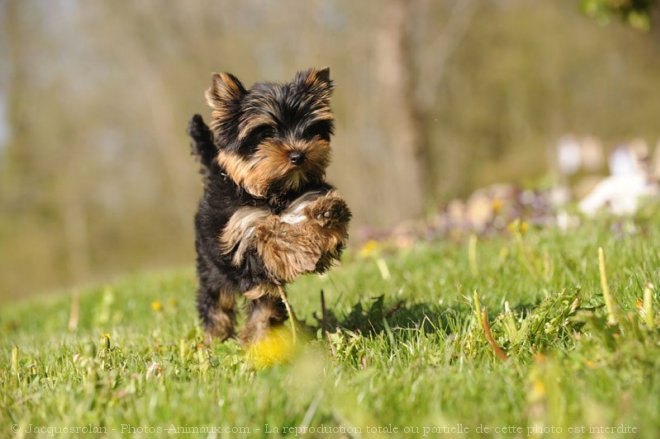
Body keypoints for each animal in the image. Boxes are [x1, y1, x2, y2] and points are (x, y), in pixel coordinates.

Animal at [187, 68, 350, 344]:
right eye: (266, 133)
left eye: (310, 129)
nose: (298, 155)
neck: (273, 193)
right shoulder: (243, 233)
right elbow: (272, 240)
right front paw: (290, 243)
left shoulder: (302, 200)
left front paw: (327, 213)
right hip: (211, 264)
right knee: (218, 298)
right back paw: (220, 336)